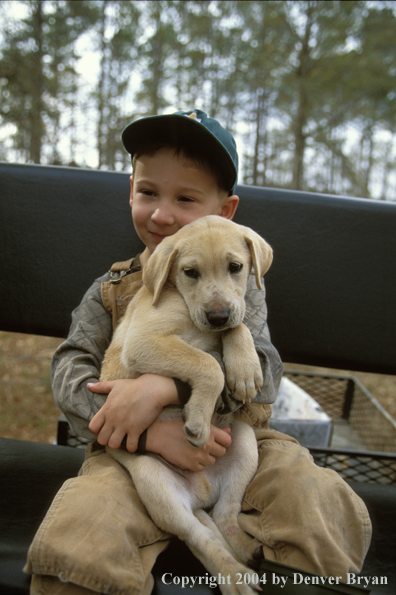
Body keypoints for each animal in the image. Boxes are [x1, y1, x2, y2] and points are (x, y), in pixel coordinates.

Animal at [100, 217, 272, 592]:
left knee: (226, 515)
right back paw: (235, 577)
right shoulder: (143, 340)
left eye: (236, 267)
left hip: (245, 442)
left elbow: (240, 326)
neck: (182, 299)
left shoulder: (230, 316)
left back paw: (247, 552)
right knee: (202, 539)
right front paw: (199, 417)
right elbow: (206, 362)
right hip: (157, 486)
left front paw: (245, 369)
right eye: (190, 272)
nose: (217, 315)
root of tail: (201, 494)